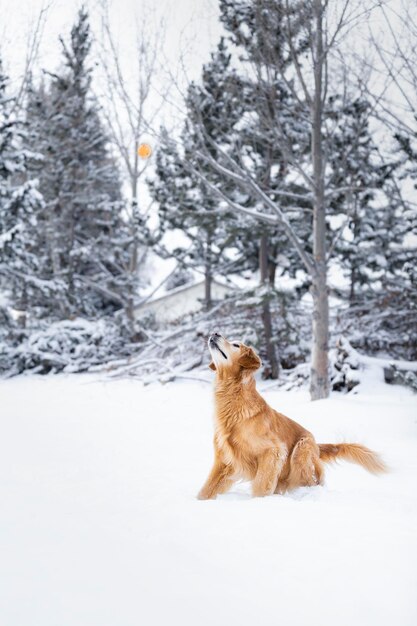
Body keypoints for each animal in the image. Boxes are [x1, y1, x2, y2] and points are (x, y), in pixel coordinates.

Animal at [197, 332, 386, 498]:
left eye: (236, 345)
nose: (215, 333)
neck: (233, 398)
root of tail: (317, 446)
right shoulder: (224, 460)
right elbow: (206, 490)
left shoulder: (273, 451)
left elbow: (261, 485)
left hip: (300, 451)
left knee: (311, 481)